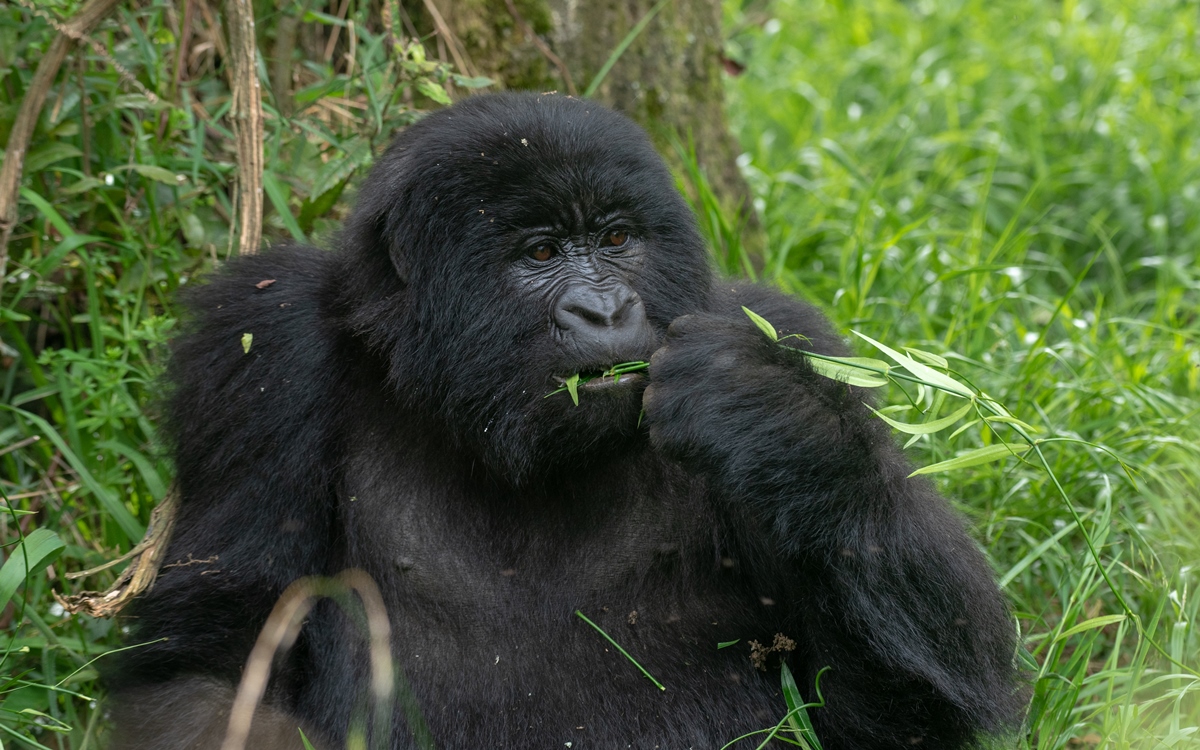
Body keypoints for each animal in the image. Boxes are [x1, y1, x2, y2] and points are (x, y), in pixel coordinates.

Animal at [108, 93, 1022, 748]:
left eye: (616, 240)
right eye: (541, 254)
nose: (605, 309)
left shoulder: (788, 330)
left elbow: (907, 703)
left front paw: (776, 417)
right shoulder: (263, 345)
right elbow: (207, 658)